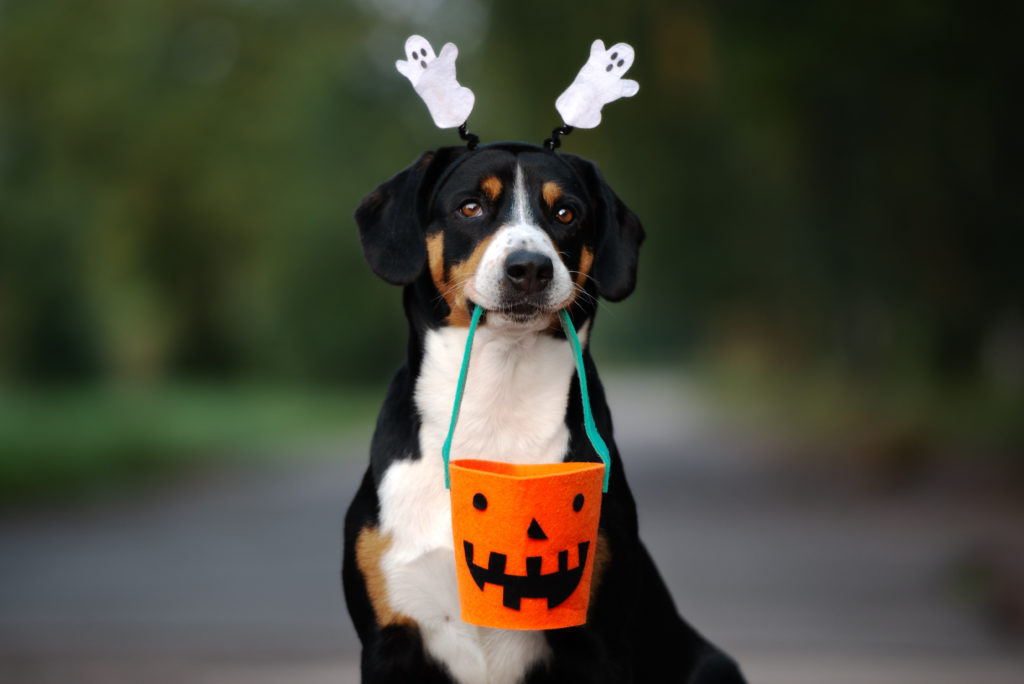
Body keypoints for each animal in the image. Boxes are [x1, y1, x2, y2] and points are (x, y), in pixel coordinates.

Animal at [344, 141, 745, 679]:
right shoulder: (388, 638)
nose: (530, 267)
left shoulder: (597, 640)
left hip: (713, 665)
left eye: (565, 213)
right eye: (470, 207)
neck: (497, 403)